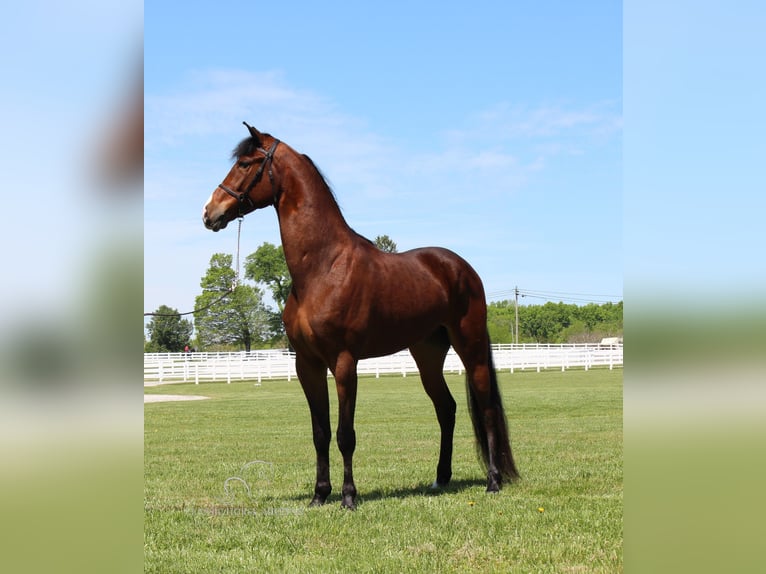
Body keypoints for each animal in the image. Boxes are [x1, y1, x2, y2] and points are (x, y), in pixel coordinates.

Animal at [201, 124, 520, 510]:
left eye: (246, 164)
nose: (209, 212)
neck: (323, 267)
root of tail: (461, 267)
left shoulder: (343, 362)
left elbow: (345, 434)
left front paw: (348, 497)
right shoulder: (306, 364)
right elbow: (320, 432)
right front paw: (319, 495)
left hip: (470, 347)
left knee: (485, 408)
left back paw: (493, 481)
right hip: (427, 354)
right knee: (446, 408)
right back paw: (440, 479)